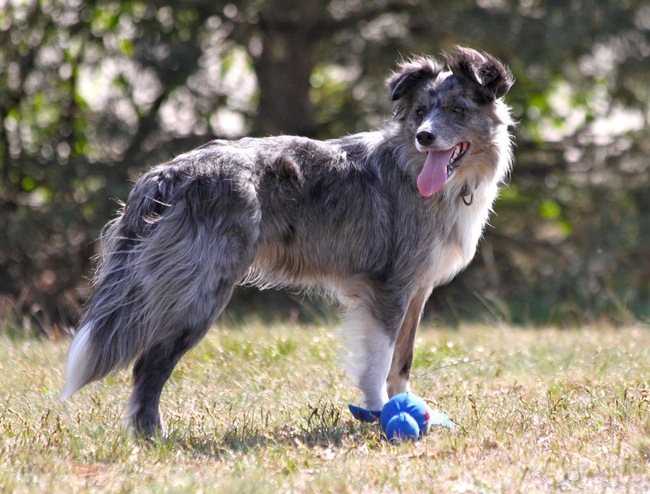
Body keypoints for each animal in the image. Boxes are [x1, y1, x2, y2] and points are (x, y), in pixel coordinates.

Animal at [60, 47, 514, 437]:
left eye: (457, 111)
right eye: (420, 112)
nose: (424, 136)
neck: (419, 171)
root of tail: (164, 175)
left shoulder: (416, 289)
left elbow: (402, 361)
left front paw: (405, 407)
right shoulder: (389, 287)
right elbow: (379, 360)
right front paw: (380, 414)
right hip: (199, 291)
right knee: (150, 364)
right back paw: (153, 436)